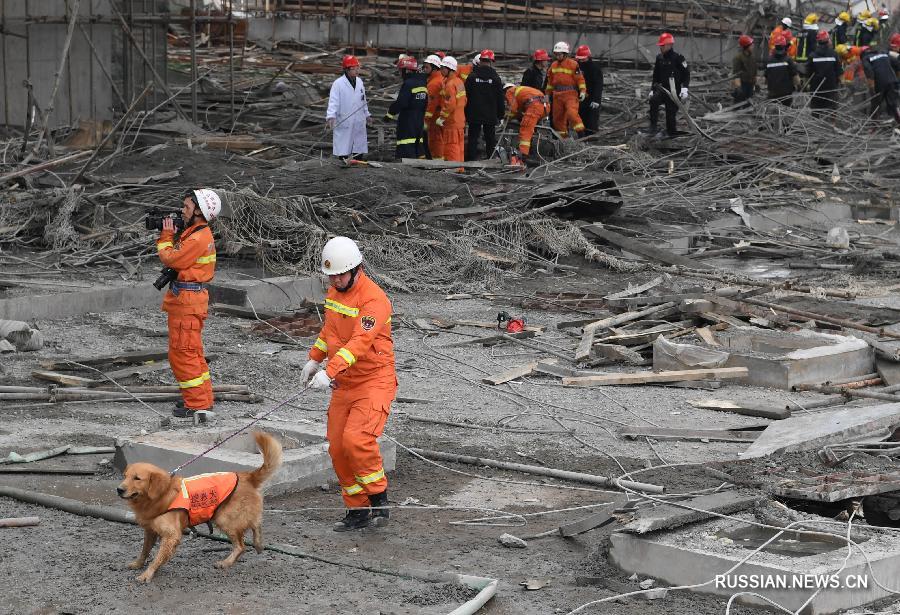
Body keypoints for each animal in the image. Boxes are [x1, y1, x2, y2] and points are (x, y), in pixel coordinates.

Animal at [117, 434, 282, 584]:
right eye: (125, 476)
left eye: (137, 478)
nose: (118, 489)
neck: (161, 494)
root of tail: (247, 476)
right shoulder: (150, 531)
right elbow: (145, 550)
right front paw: (138, 564)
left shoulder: (171, 536)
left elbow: (157, 558)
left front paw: (147, 574)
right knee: (256, 522)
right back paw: (258, 543)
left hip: (224, 518)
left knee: (241, 545)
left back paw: (226, 562)